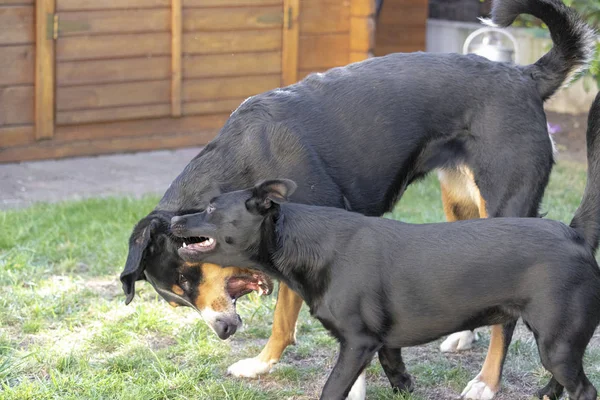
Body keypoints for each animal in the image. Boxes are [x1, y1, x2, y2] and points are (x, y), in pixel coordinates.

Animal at [120, 0, 596, 396]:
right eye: (178, 296)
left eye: (190, 278)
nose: (222, 331)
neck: (244, 161)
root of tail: (524, 76)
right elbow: (283, 320)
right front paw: (261, 364)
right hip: (461, 204)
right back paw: (465, 333)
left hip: (504, 202)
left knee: (510, 318)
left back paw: (486, 381)